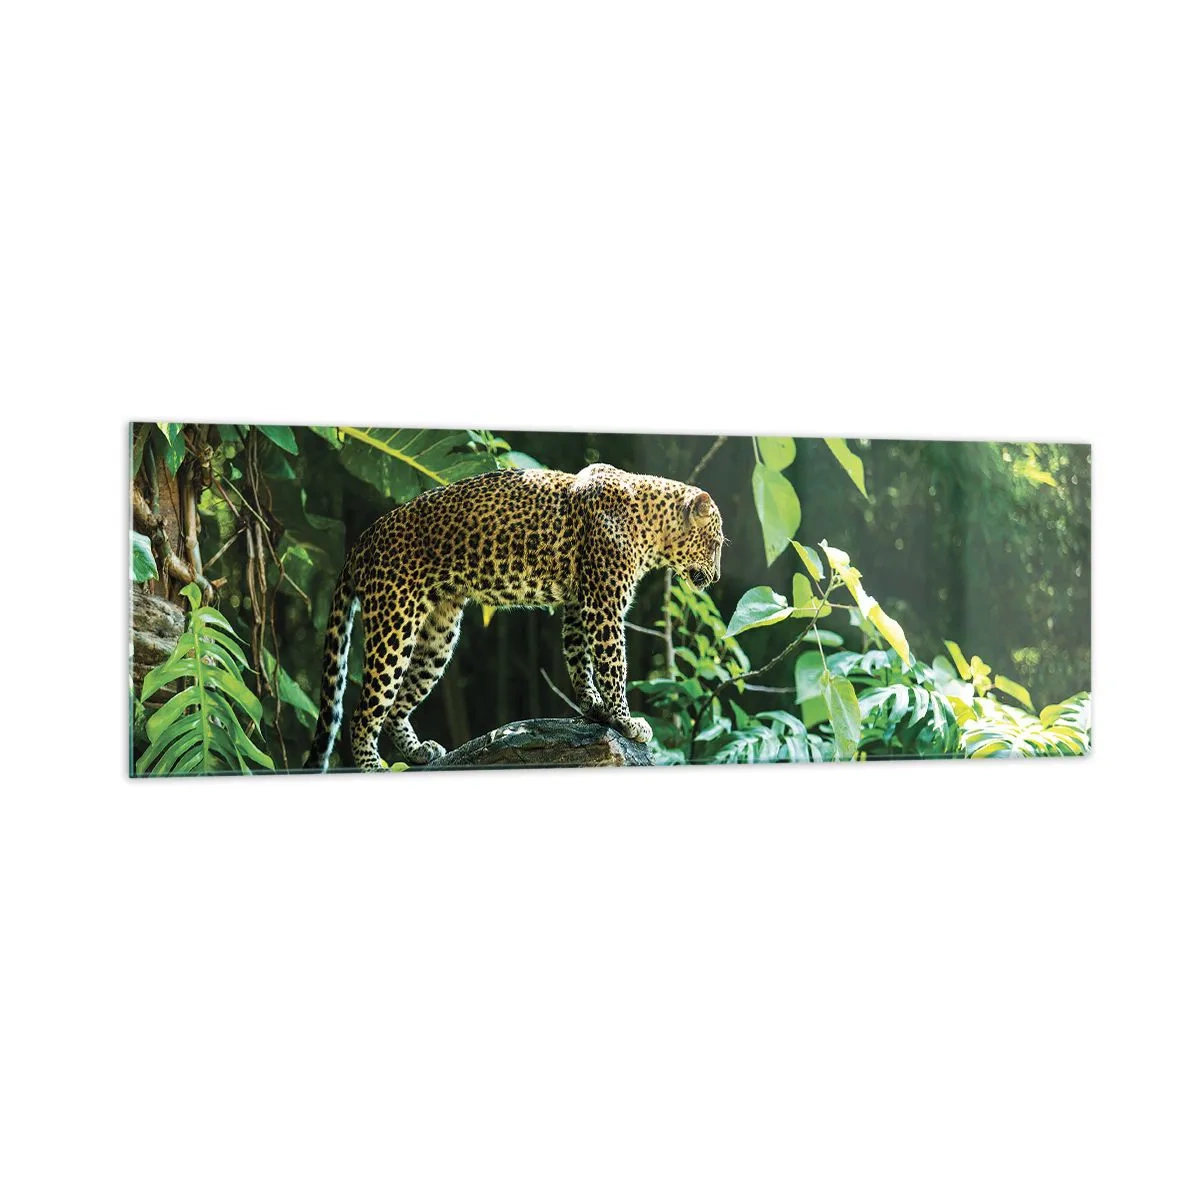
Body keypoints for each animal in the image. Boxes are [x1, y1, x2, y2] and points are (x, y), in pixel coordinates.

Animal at [305, 462, 724, 772]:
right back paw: (371, 766)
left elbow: (579, 658)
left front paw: (594, 708)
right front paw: (626, 720)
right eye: (716, 543)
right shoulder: (603, 605)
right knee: (363, 711)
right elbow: (613, 665)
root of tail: (362, 541)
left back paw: (418, 751)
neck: (651, 525)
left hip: (439, 634)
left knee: (396, 706)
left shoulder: (579, 603)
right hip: (394, 622)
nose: (718, 577)